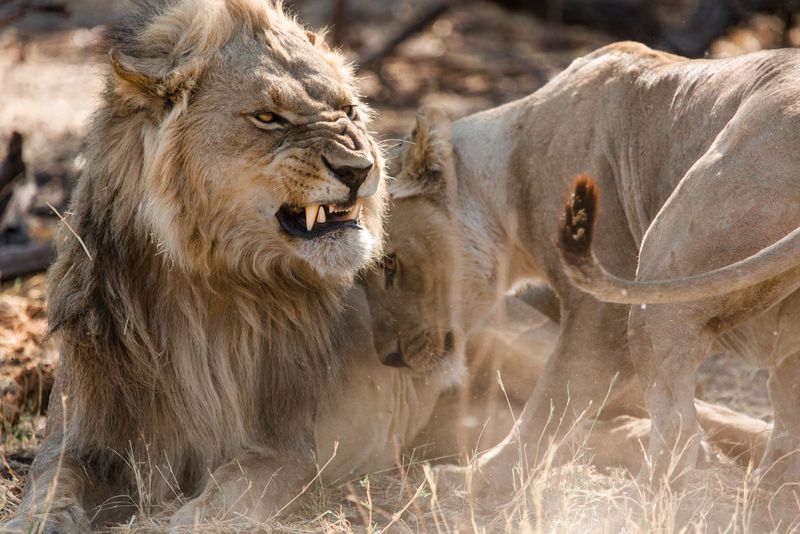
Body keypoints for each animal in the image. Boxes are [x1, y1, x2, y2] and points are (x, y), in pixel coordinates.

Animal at [7, 0, 386, 530]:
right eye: (269, 117)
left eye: (350, 111)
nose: (360, 169)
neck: (204, 284)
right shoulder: (81, 436)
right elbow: (52, 483)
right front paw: (32, 520)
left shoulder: (297, 448)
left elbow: (235, 483)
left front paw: (190, 519)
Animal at [361, 42, 794, 494]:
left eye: (390, 264)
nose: (389, 357)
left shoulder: (602, 312)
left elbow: (551, 402)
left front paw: (473, 481)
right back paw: (767, 495)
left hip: (660, 278)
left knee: (679, 425)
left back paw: (637, 500)